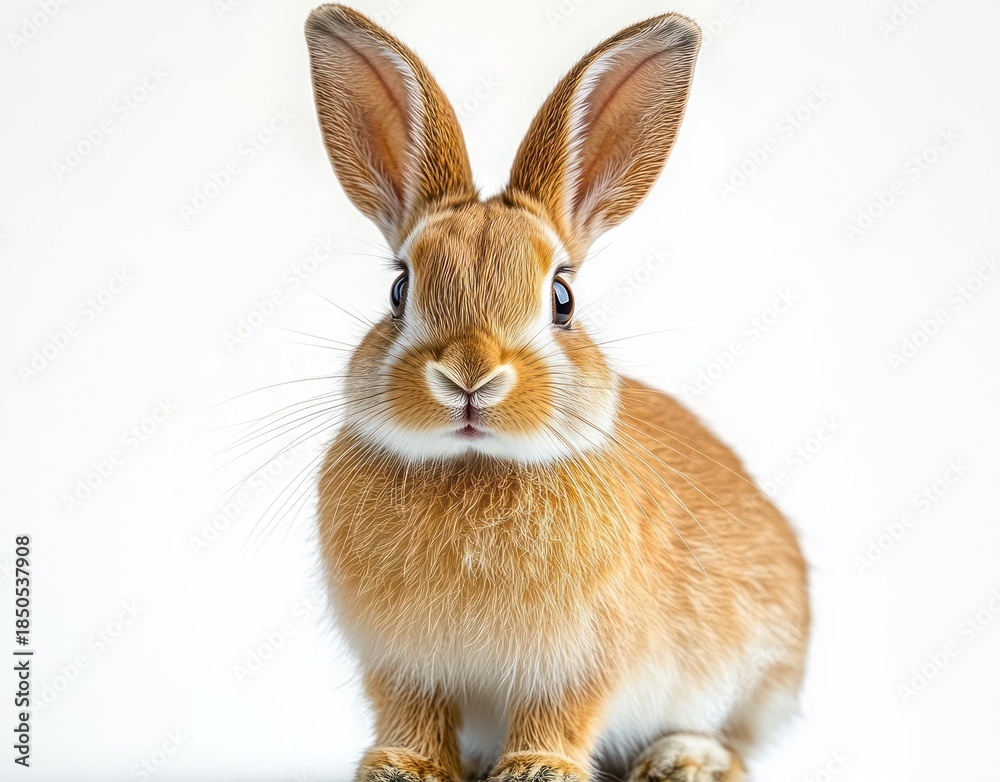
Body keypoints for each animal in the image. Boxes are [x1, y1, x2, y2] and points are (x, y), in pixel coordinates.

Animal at [304, 5, 810, 781]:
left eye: (563, 299)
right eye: (398, 290)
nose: (470, 375)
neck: (474, 465)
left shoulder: (580, 662)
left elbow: (561, 714)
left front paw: (537, 770)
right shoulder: (402, 663)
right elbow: (412, 713)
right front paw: (399, 767)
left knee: (737, 742)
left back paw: (681, 759)